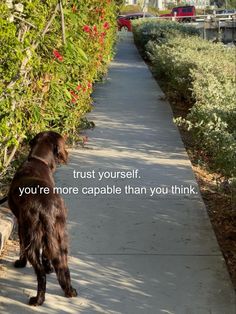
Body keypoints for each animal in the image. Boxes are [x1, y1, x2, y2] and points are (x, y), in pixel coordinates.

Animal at [8, 131, 77, 306]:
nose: (67, 154)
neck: (38, 161)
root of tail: (46, 208)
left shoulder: (21, 224)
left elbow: (21, 247)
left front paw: (20, 263)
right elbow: (47, 253)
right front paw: (49, 267)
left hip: (31, 236)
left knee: (40, 274)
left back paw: (38, 299)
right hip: (61, 234)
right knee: (63, 265)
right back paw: (69, 290)